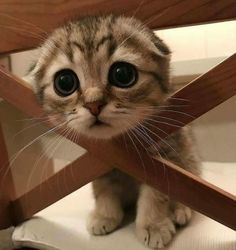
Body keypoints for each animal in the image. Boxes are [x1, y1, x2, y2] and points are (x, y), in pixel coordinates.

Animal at [26, 15, 200, 248]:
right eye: (64, 82)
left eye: (123, 74)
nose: (94, 104)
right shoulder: (97, 161)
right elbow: (103, 188)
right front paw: (104, 215)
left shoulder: (165, 157)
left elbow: (155, 194)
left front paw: (153, 225)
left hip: (187, 157)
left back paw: (180, 210)